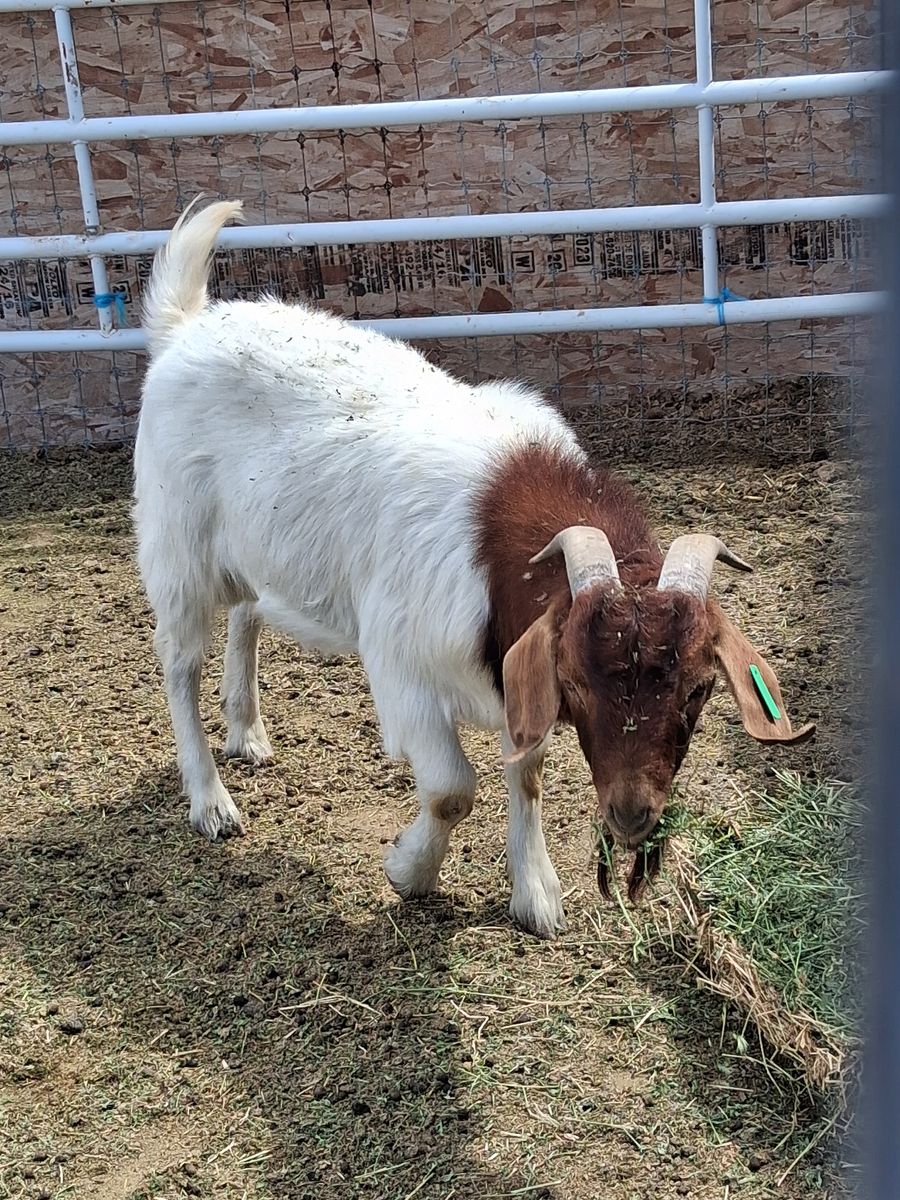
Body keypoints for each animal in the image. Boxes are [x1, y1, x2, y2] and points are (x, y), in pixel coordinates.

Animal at [134, 198, 814, 939]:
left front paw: (536, 894)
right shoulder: (403, 672)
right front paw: (409, 872)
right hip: (177, 548)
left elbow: (530, 772)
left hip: (253, 548)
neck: (496, 541)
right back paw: (210, 801)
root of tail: (186, 325)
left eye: (698, 689)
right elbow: (452, 792)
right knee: (179, 666)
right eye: (579, 681)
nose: (633, 817)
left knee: (247, 613)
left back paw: (249, 734)